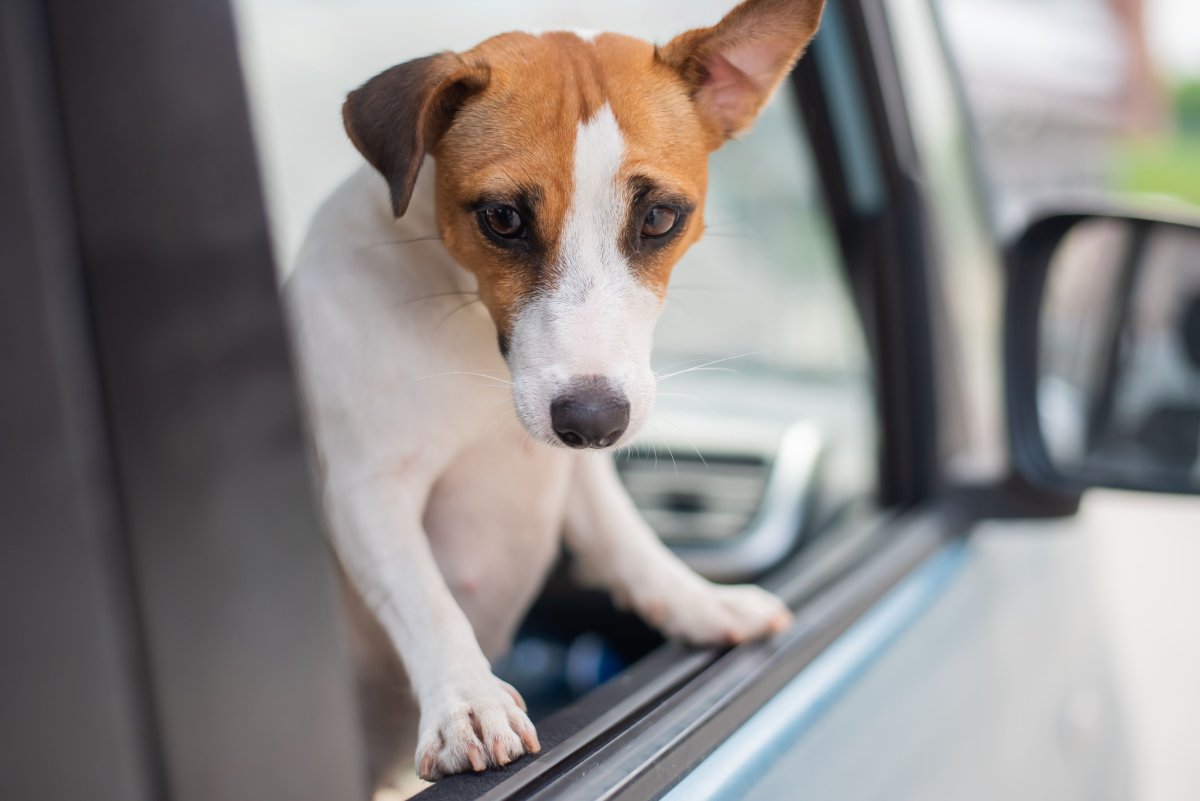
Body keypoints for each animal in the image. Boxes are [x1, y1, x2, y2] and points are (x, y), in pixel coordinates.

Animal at [284, 0, 820, 786]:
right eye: (502, 218)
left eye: (659, 217)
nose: (593, 422)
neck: (468, 327)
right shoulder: (364, 493)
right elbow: (423, 597)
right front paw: (469, 700)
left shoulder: (579, 467)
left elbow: (627, 537)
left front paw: (697, 600)